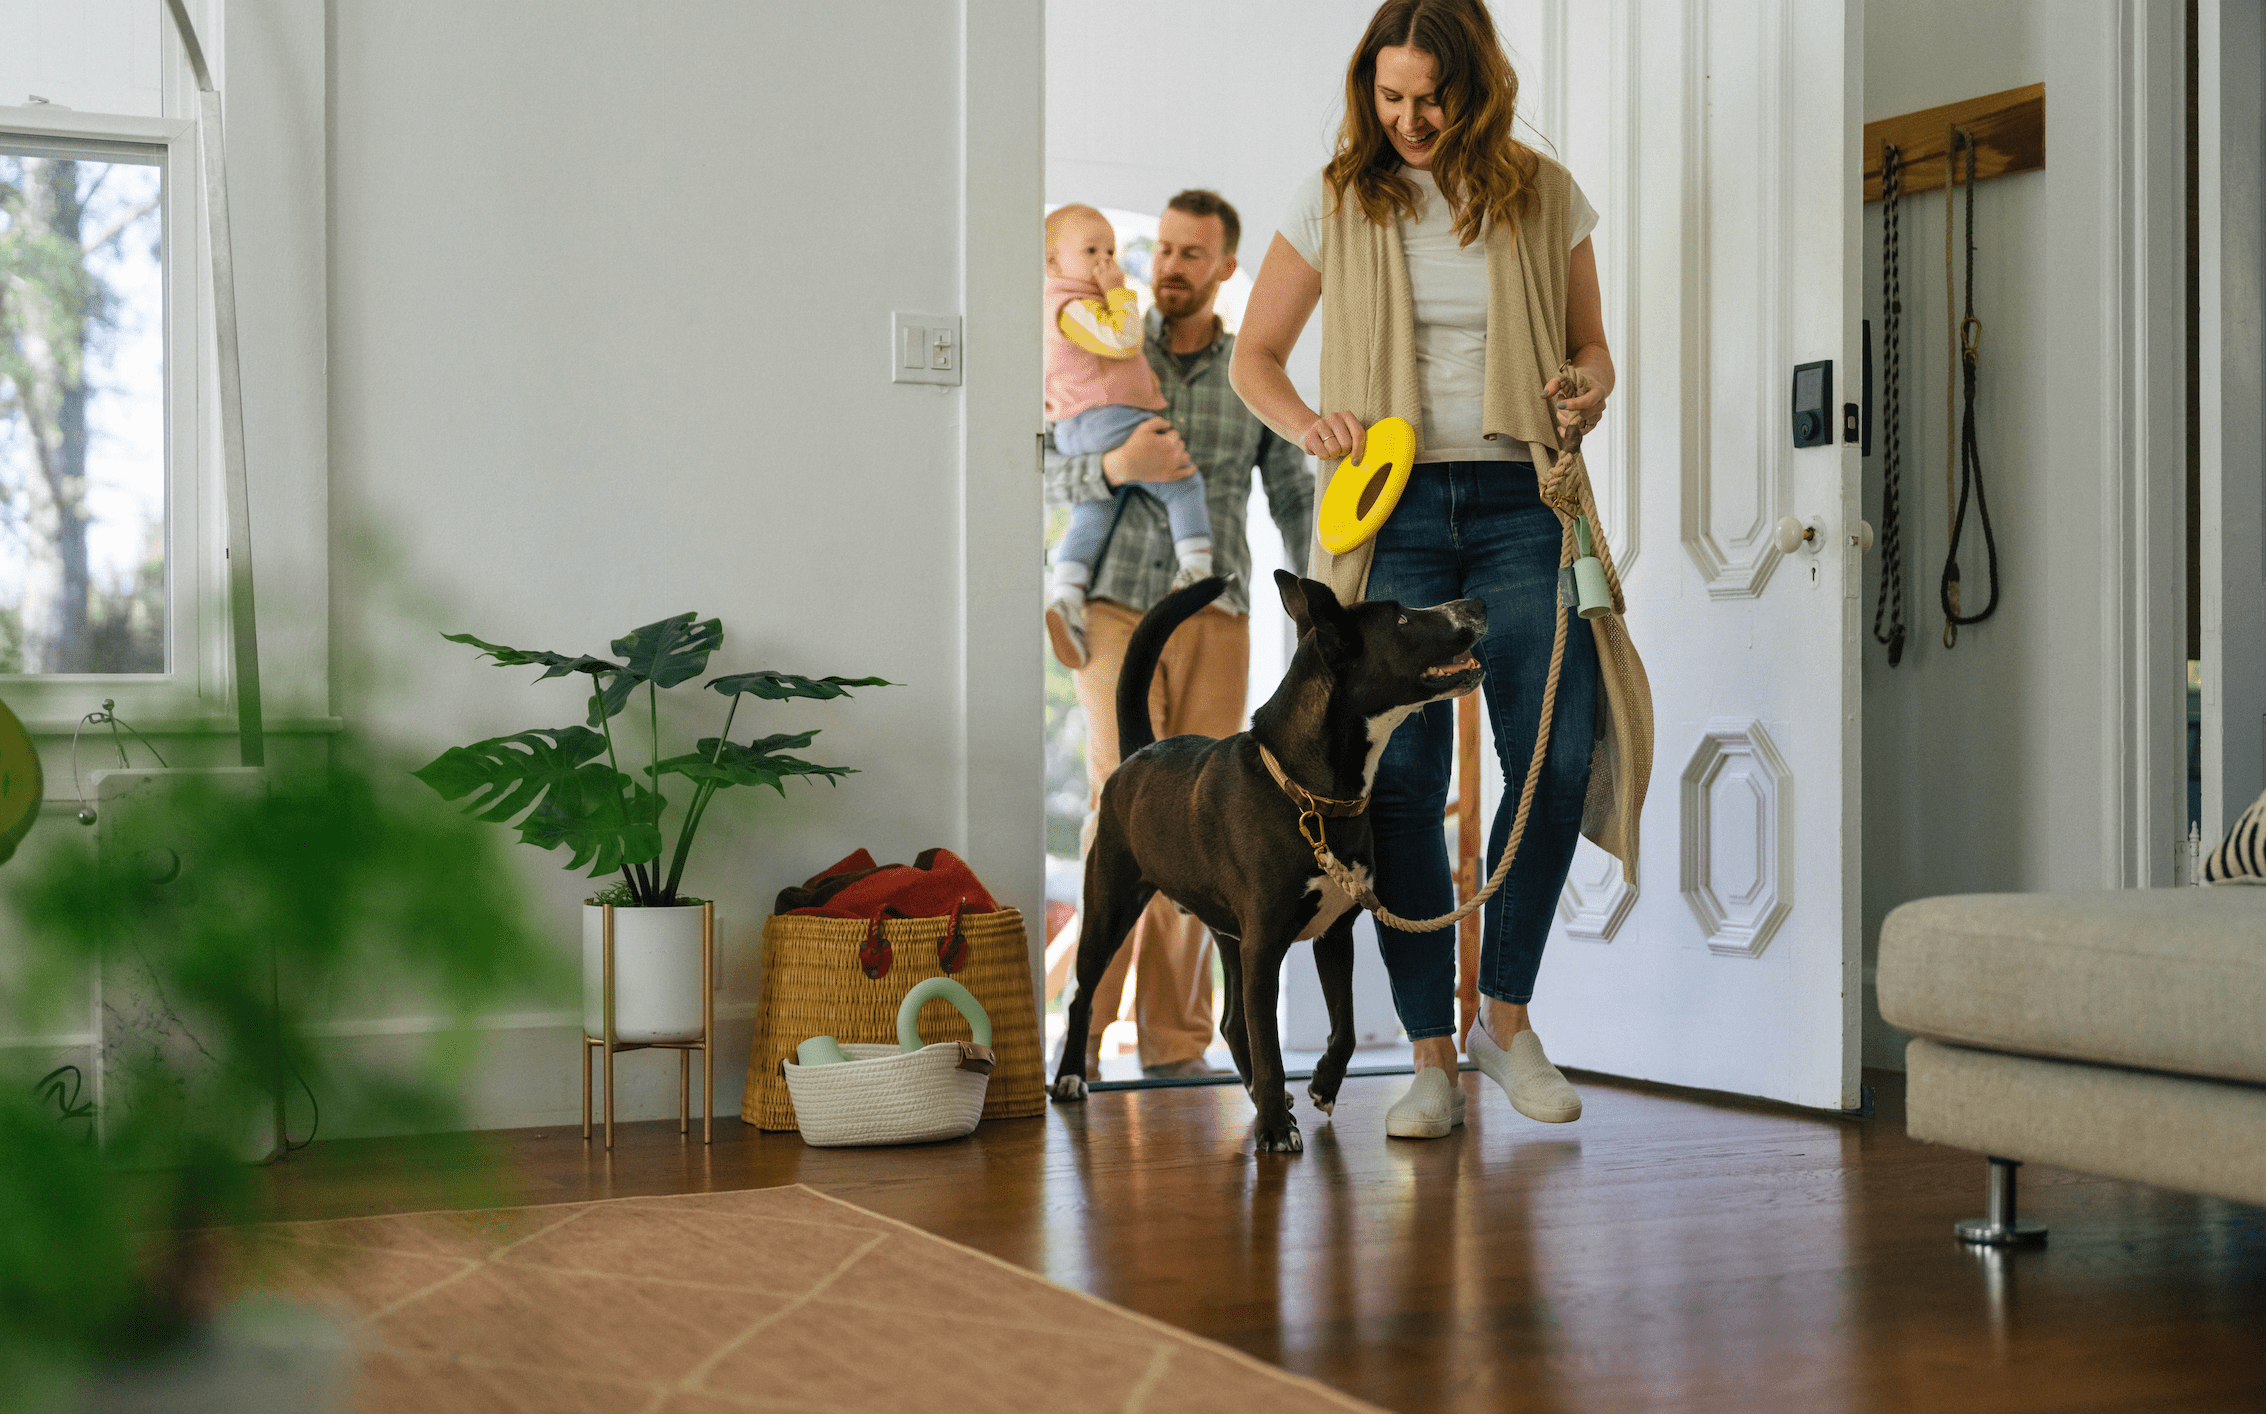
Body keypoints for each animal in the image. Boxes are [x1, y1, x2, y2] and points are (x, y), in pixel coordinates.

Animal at [1049, 569, 1485, 1153]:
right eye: (1401, 618)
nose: (1478, 604)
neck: (1310, 797)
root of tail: (1137, 754)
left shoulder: (1334, 935)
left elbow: (1344, 1027)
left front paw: (1320, 1084)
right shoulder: (1263, 948)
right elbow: (1270, 1046)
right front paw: (1276, 1128)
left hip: (1226, 935)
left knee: (1233, 1023)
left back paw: (1259, 1096)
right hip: (1110, 907)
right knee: (1083, 997)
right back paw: (1071, 1078)